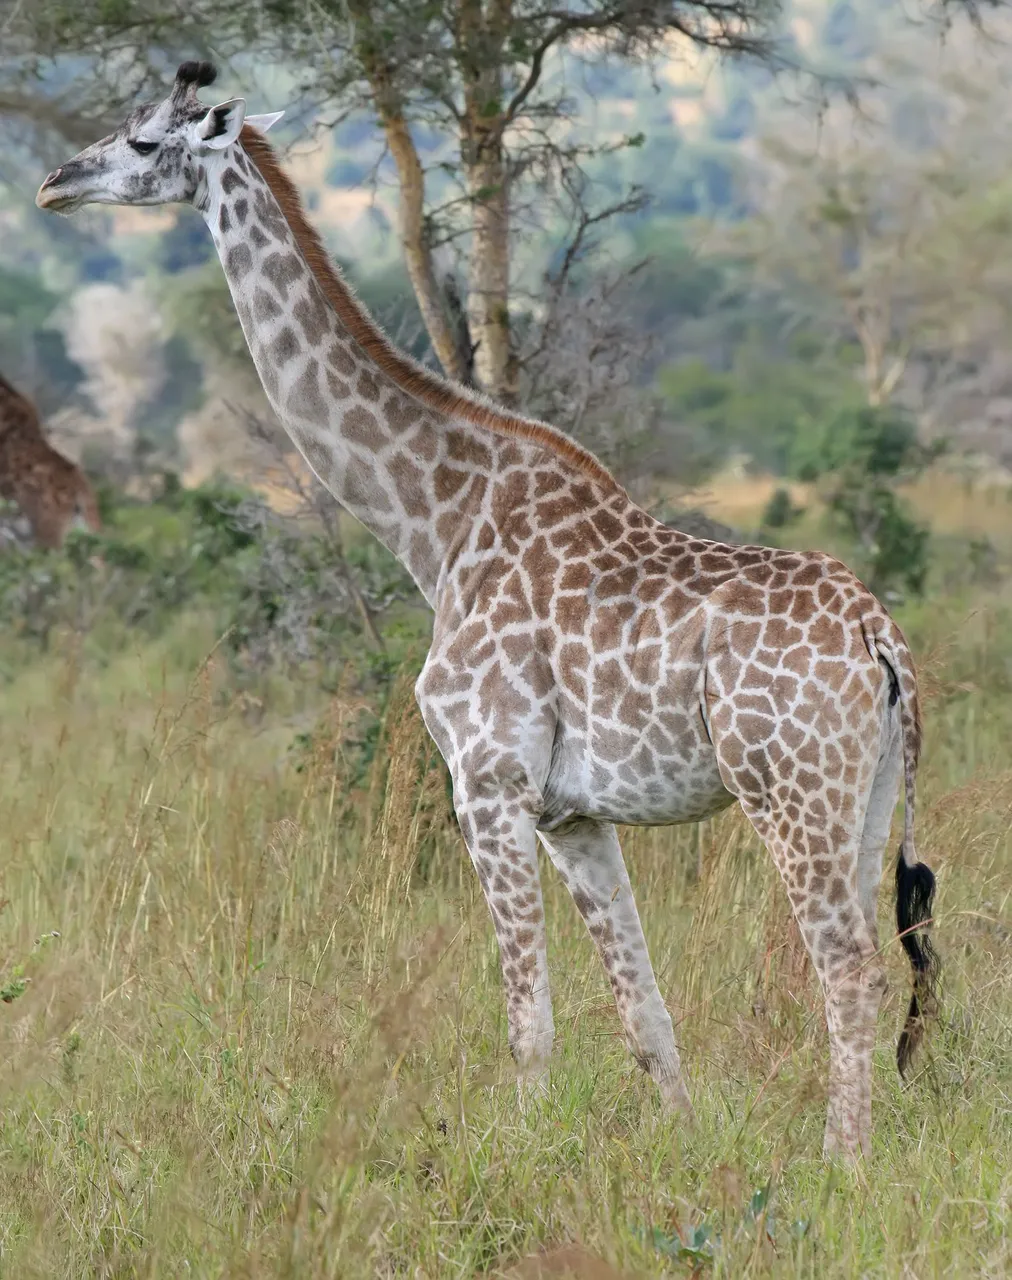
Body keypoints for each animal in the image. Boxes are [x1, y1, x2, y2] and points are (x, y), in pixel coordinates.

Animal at [37, 62, 941, 1162]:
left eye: (139, 141)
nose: (53, 183)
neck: (435, 526)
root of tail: (880, 637)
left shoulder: (487, 781)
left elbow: (527, 1021)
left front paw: (514, 1164)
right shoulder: (575, 813)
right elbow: (643, 1012)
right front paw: (681, 1152)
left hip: (787, 787)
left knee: (848, 968)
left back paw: (840, 1166)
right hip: (863, 794)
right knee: (868, 960)